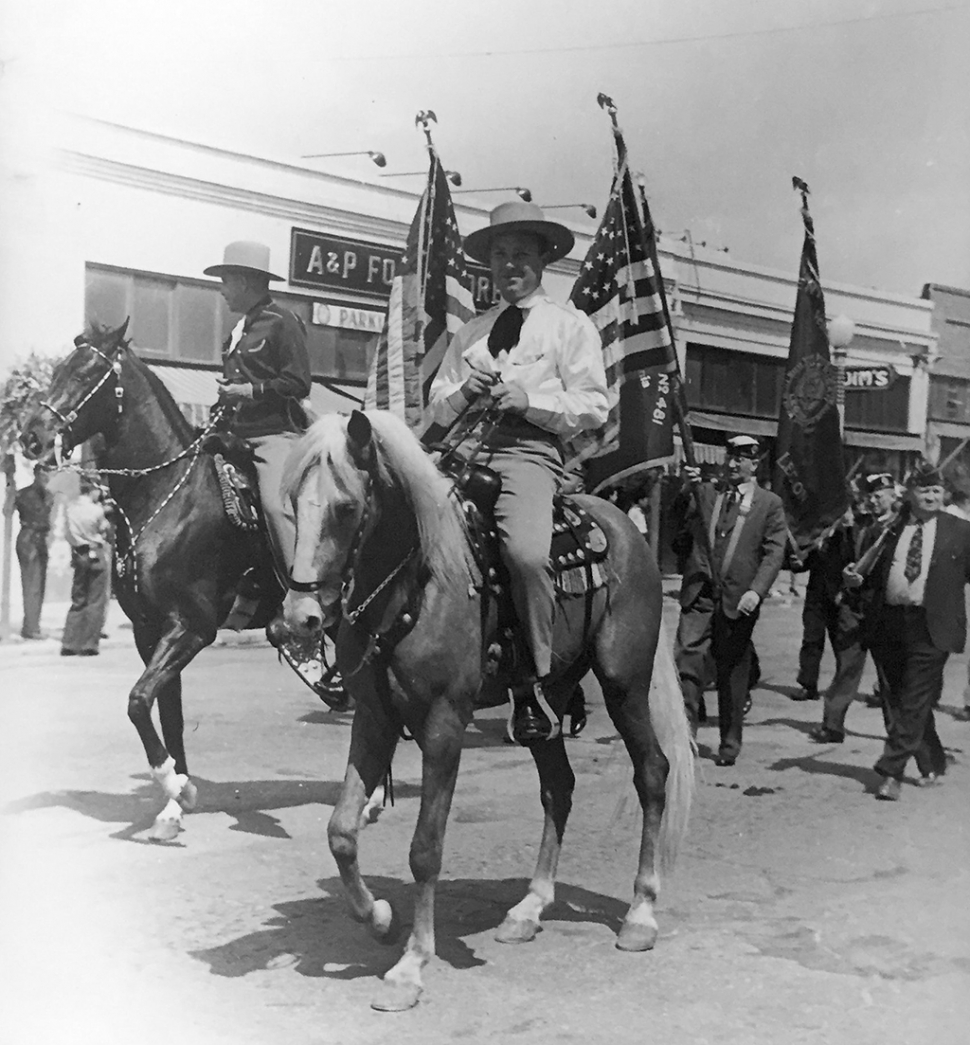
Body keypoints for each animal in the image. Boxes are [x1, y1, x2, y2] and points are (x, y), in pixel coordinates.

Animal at [18, 321, 359, 835]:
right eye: (56, 369)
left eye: (87, 373)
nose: (31, 435)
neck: (165, 494)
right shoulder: (150, 630)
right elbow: (167, 712)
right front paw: (174, 802)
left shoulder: (192, 627)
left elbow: (138, 699)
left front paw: (175, 784)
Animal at [282, 409, 698, 1011]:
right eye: (293, 501)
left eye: (345, 507)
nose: (301, 617)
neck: (418, 585)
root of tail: (626, 528)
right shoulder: (374, 718)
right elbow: (340, 831)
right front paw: (379, 918)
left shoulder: (443, 726)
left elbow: (425, 849)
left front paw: (411, 965)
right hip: (549, 694)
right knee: (559, 786)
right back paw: (530, 906)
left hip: (624, 684)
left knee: (652, 772)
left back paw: (640, 913)